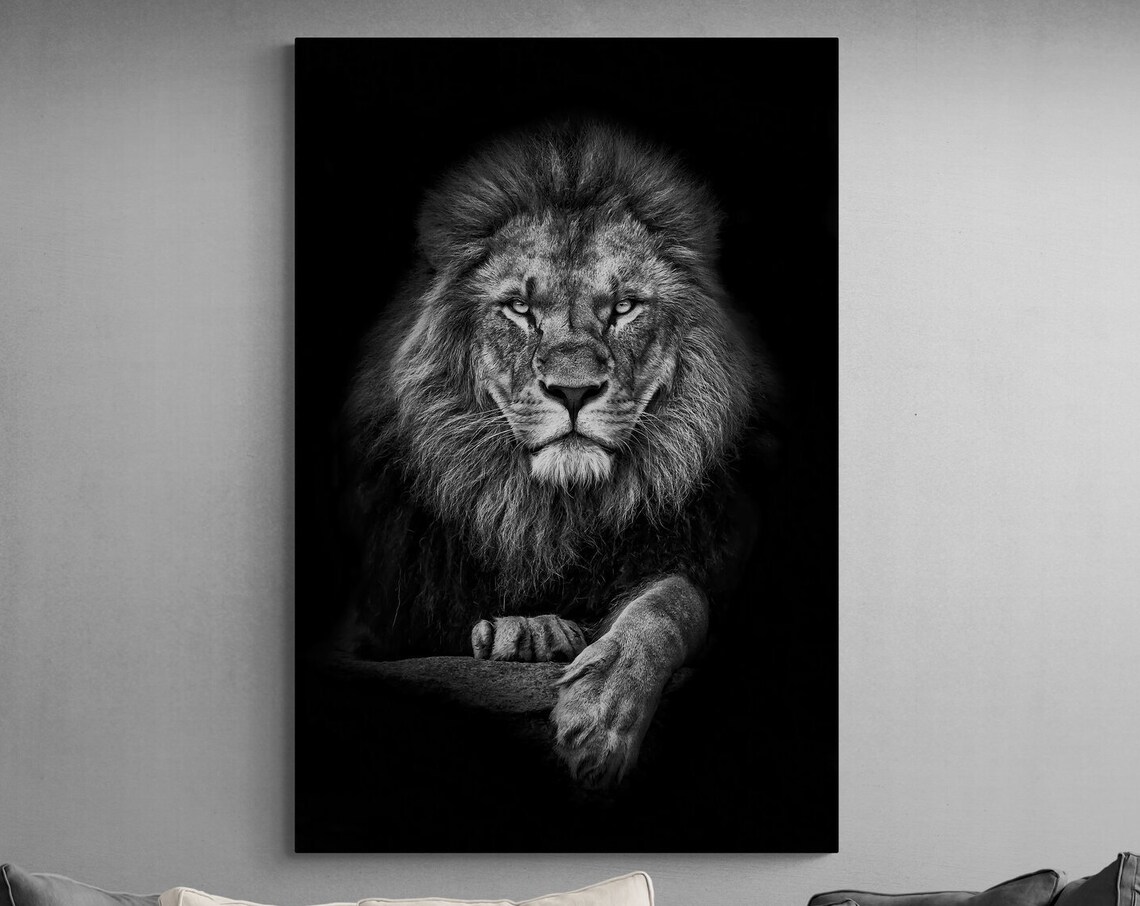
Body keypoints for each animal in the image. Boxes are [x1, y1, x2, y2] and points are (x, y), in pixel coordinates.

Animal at [338, 120, 778, 789]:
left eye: (623, 307)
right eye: (520, 309)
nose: (573, 391)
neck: (554, 514)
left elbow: (673, 601)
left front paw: (601, 717)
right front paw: (529, 630)